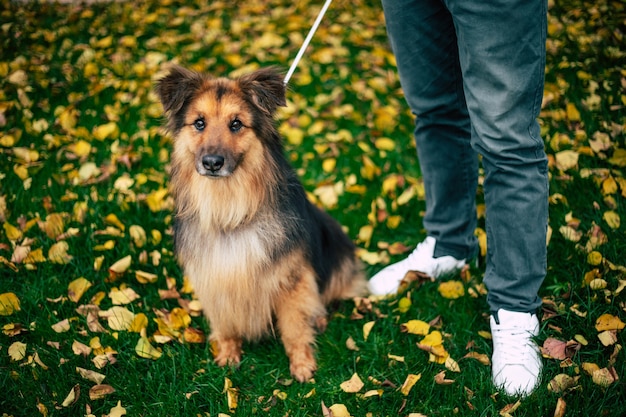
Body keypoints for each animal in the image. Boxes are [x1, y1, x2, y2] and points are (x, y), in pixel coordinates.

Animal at [154, 65, 366, 380]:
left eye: (237, 124)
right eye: (199, 123)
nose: (212, 163)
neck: (229, 209)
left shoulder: (291, 279)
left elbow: (294, 326)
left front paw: (302, 364)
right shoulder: (213, 277)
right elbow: (225, 322)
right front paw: (228, 353)